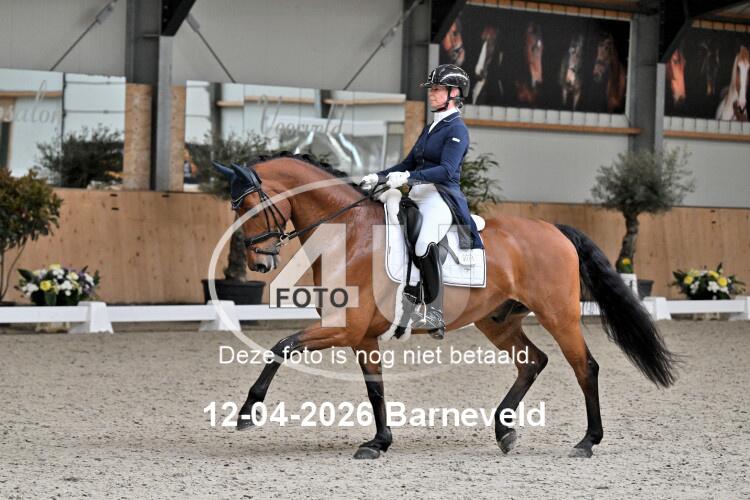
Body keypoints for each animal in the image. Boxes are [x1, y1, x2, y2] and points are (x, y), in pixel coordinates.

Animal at [214, 153, 676, 460]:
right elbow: (375, 389)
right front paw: (378, 442)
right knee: (532, 361)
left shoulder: (344, 328)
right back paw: (504, 431)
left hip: (558, 315)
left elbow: (281, 346)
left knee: (585, 368)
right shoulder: (362, 336)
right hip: (497, 321)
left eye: (249, 206)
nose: (258, 263)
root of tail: (555, 229)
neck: (349, 233)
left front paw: (247, 412)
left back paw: (586, 442)